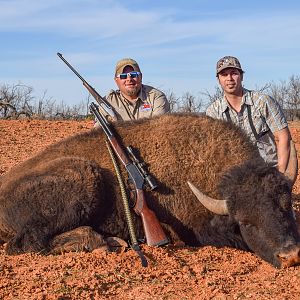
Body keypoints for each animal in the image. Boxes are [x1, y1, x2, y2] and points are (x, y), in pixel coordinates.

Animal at [0, 113, 298, 268]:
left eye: (286, 208)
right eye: (246, 222)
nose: (291, 256)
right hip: (82, 177)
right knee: (27, 243)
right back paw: (104, 242)